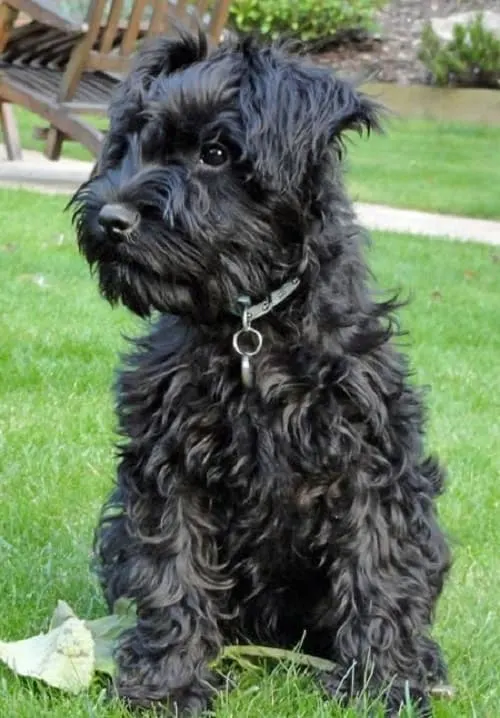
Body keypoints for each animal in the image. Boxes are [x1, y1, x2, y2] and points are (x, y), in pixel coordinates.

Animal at [72, 31, 452, 716]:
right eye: (129, 142)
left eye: (216, 152)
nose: (109, 219)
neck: (252, 323)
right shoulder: (168, 463)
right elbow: (173, 572)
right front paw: (168, 684)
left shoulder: (370, 462)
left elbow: (378, 571)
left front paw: (384, 683)